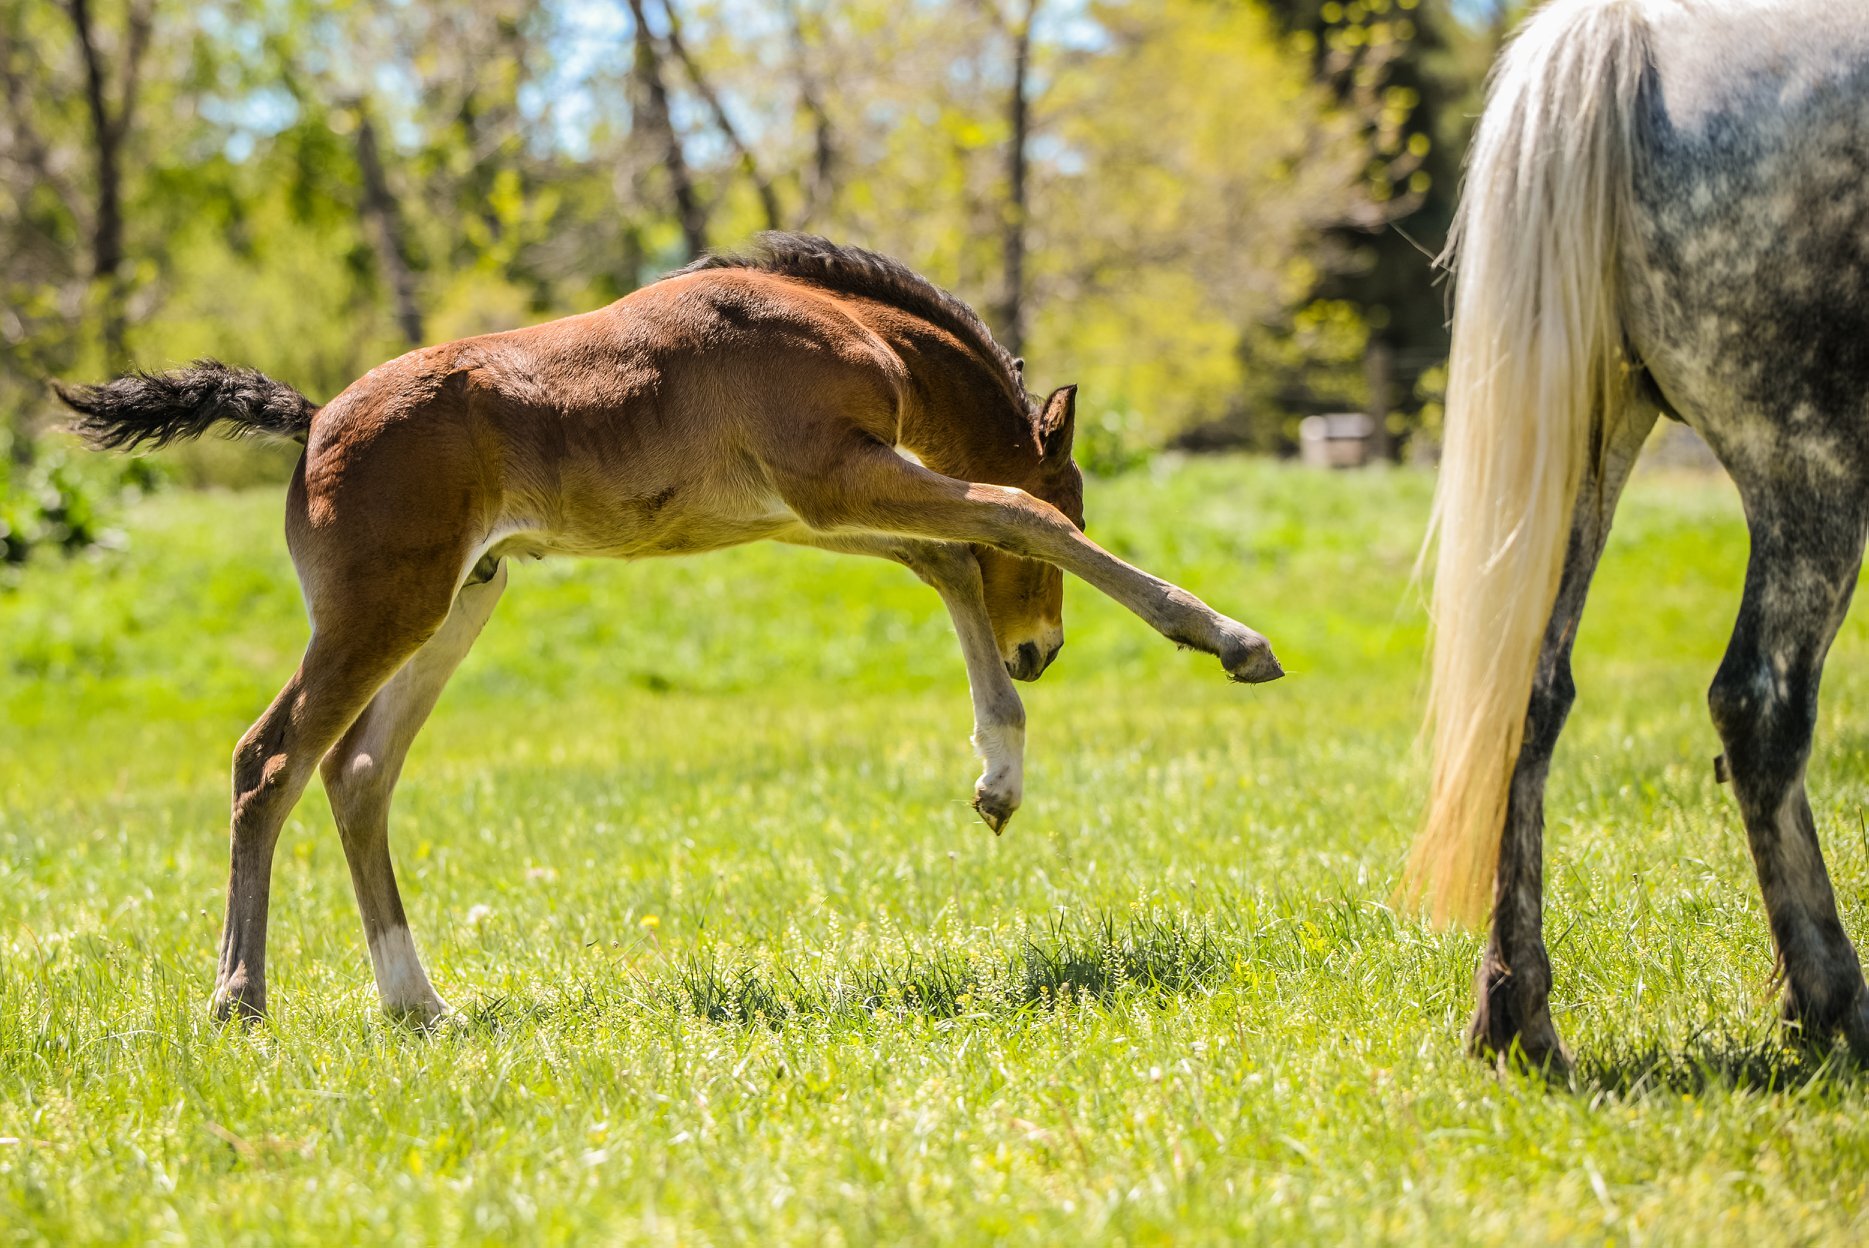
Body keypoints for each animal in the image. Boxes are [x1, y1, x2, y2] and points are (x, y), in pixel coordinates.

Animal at [62, 233, 1285, 1023]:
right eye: (1081, 492)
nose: (1044, 651)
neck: (844, 326)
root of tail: (314, 421)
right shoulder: (834, 478)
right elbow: (1002, 518)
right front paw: (1226, 638)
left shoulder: (807, 506)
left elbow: (947, 555)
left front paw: (998, 771)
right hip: (382, 609)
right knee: (269, 758)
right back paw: (240, 999)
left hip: (460, 600)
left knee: (356, 771)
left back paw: (420, 1004)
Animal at [1412, 0, 1869, 1068]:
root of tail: (1627, 32)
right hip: (1812, 462)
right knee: (1760, 705)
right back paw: (1833, 1003)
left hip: (1587, 449)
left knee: (1526, 701)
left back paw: (1518, 1021)